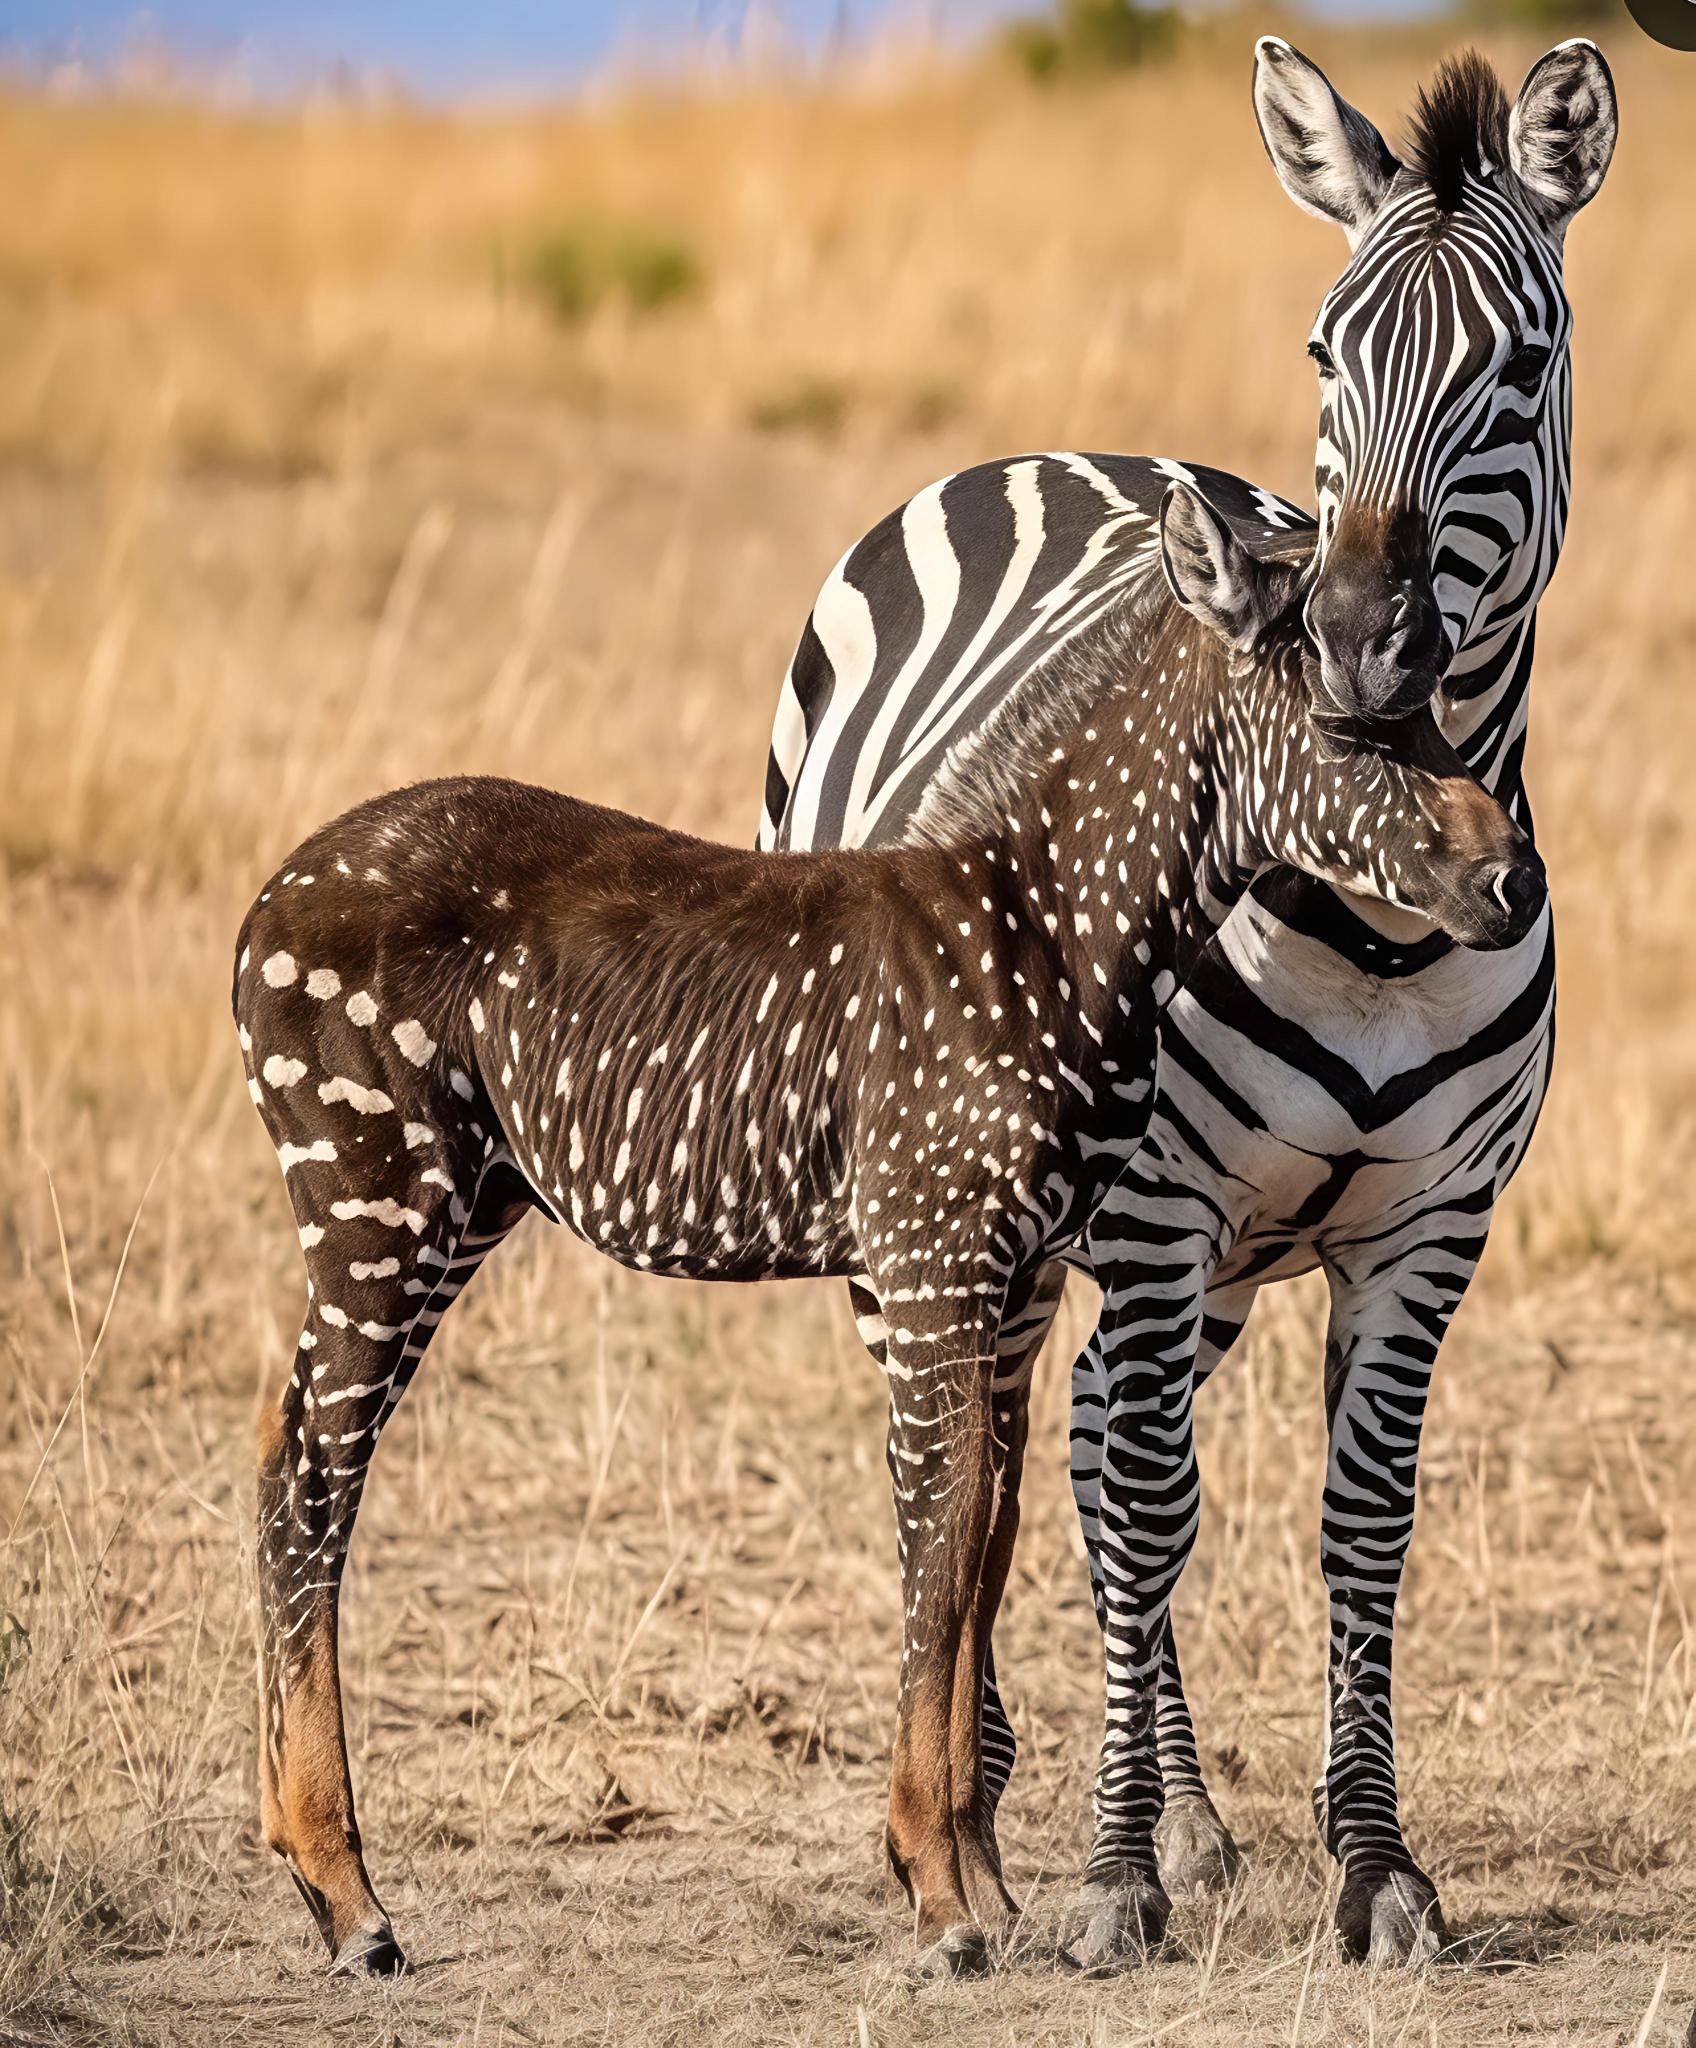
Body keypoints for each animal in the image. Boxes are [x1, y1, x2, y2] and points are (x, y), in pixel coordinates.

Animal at [235, 480, 1541, 1979]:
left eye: (1433, 699)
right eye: (1346, 726)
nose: (1515, 883)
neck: (1047, 927)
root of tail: (274, 891)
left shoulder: (1016, 1280)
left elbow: (983, 1536)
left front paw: (978, 1879)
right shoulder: (932, 1257)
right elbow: (939, 1525)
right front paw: (937, 1893)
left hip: (455, 1204)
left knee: (287, 1460)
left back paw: (310, 1865)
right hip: (376, 1200)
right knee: (308, 1484)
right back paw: (349, 1897)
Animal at [757, 41, 1616, 1969]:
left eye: (1521, 363)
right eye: (1322, 349)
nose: (1358, 634)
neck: (1376, 918)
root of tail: (1048, 452)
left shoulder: (1425, 1227)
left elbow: (1354, 1524)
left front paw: (1370, 1866)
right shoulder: (1157, 1203)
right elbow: (1142, 1505)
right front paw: (1109, 1878)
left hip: (1192, 1265)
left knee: (1079, 1435)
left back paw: (1187, 1811)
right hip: (947, 1207)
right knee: (969, 1460)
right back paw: (971, 1805)